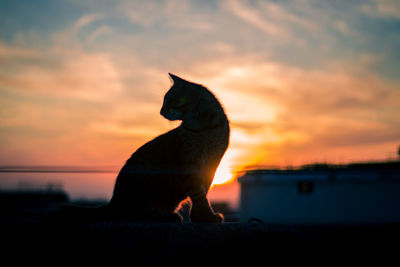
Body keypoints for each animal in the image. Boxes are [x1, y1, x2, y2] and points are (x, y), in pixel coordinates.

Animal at [51, 73, 230, 224]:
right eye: (164, 100)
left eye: (169, 100)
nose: (160, 111)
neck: (204, 127)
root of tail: (113, 202)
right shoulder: (191, 164)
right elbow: (199, 195)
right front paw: (207, 216)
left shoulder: (212, 164)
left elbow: (203, 192)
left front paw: (200, 217)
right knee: (134, 215)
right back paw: (166, 217)